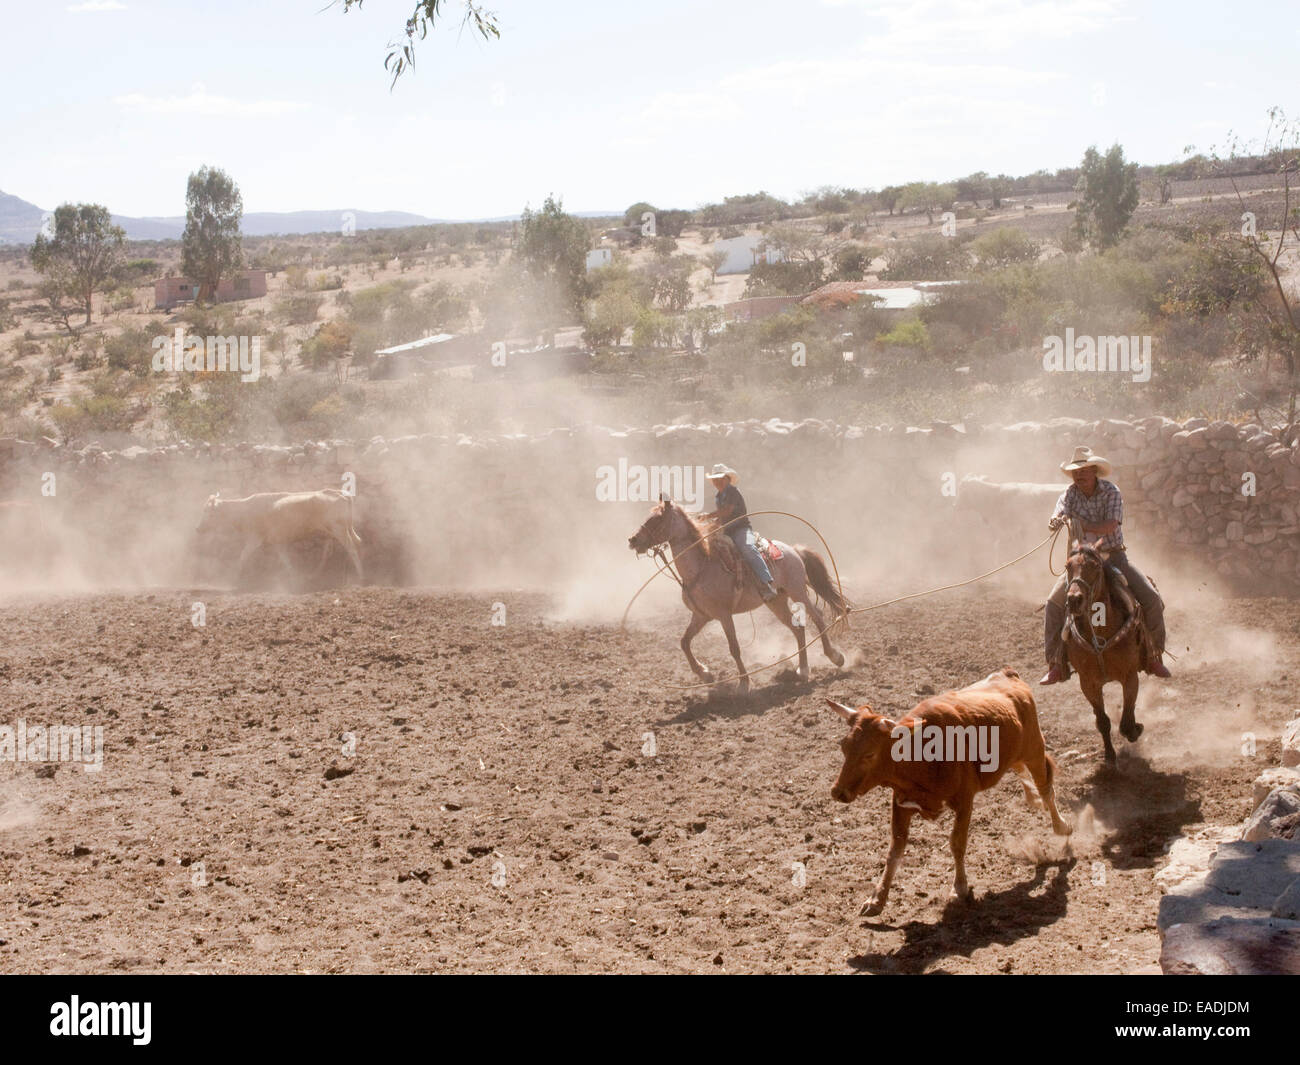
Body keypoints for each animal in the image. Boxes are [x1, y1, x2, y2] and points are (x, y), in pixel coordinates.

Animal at [195, 491, 364, 582]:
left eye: (207, 511)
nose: (198, 528)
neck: (244, 510)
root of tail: (339, 493)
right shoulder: (277, 541)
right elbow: (285, 560)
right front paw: (294, 576)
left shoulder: (255, 537)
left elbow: (243, 556)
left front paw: (233, 578)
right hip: (330, 532)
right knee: (328, 551)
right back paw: (315, 574)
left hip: (339, 529)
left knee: (352, 548)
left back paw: (360, 574)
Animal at [624, 496, 847, 691]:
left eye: (656, 519)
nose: (632, 540)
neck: (700, 568)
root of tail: (793, 549)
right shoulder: (701, 615)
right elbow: (684, 642)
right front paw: (705, 674)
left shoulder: (724, 615)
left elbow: (734, 648)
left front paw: (743, 684)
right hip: (776, 601)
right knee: (798, 628)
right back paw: (802, 670)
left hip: (797, 590)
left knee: (817, 616)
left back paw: (835, 657)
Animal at [826, 665, 1071, 915]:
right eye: (843, 747)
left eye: (869, 754)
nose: (838, 791)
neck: (921, 754)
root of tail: (1008, 674)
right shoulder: (901, 803)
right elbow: (894, 851)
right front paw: (876, 899)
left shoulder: (964, 802)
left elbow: (957, 843)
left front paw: (959, 888)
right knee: (1022, 771)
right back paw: (1033, 799)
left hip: (1034, 749)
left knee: (1046, 788)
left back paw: (1061, 825)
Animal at [1066, 546, 1149, 764]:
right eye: (1068, 566)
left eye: (1095, 566)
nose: (1074, 599)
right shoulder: (1088, 683)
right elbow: (1103, 721)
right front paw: (1110, 757)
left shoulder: (1130, 676)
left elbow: (1126, 718)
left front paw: (1135, 729)